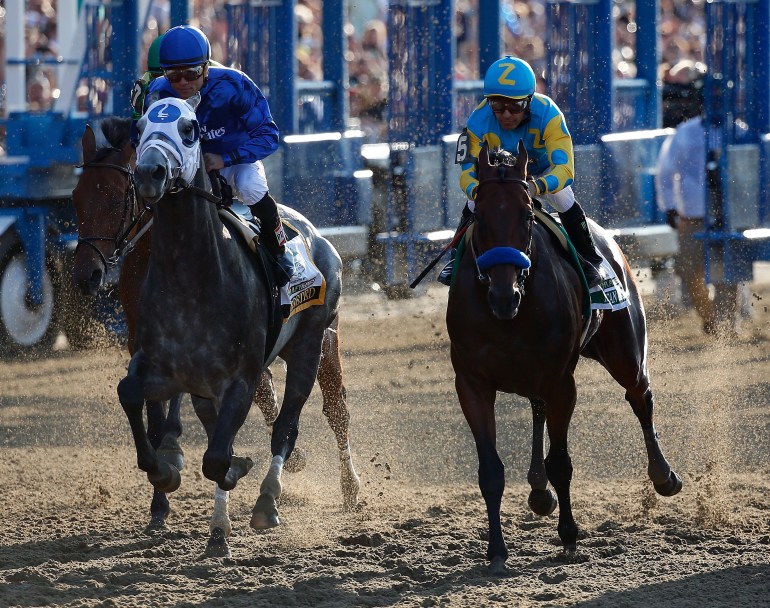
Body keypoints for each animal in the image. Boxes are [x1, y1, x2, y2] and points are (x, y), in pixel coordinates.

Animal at [120, 95, 360, 556]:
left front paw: (237, 478)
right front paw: (168, 472)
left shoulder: (240, 379)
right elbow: (134, 403)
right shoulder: (162, 368)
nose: (149, 173)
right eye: (138, 127)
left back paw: (274, 500)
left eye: (190, 128)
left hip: (312, 344)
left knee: (295, 423)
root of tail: (318, 238)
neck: (192, 278)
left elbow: (217, 457)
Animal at [448, 142, 680, 576]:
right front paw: (496, 551)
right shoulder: (472, 384)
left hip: (624, 350)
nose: (504, 295)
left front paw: (569, 536)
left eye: (526, 215)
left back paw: (664, 475)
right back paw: (538, 490)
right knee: (538, 409)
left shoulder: (561, 383)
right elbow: (490, 471)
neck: (510, 316)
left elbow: (562, 463)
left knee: (640, 395)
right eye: (478, 216)